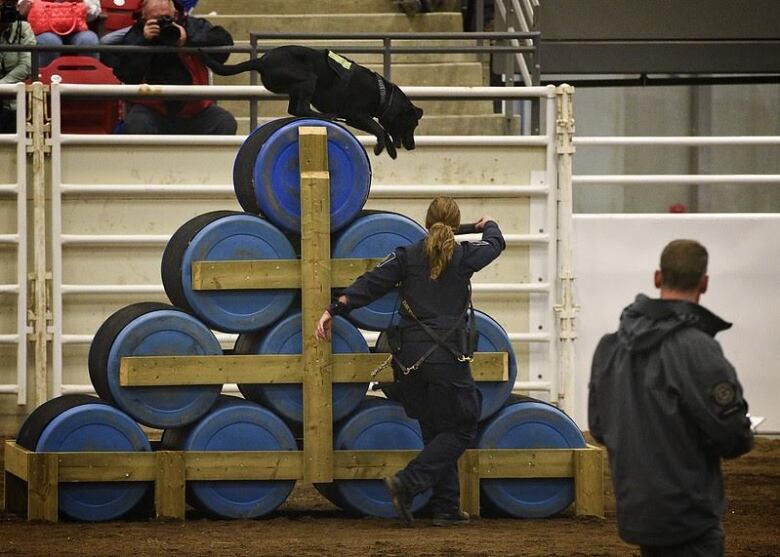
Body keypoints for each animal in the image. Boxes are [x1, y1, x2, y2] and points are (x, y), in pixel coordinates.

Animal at [200, 45, 420, 159]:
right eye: (411, 125)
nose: (412, 146)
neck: (382, 93)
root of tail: (261, 61)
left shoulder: (356, 118)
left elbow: (381, 129)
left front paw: (390, 149)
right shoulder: (357, 114)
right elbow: (380, 129)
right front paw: (382, 148)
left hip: (299, 87)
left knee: (295, 108)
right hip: (308, 78)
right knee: (300, 108)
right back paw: (325, 115)